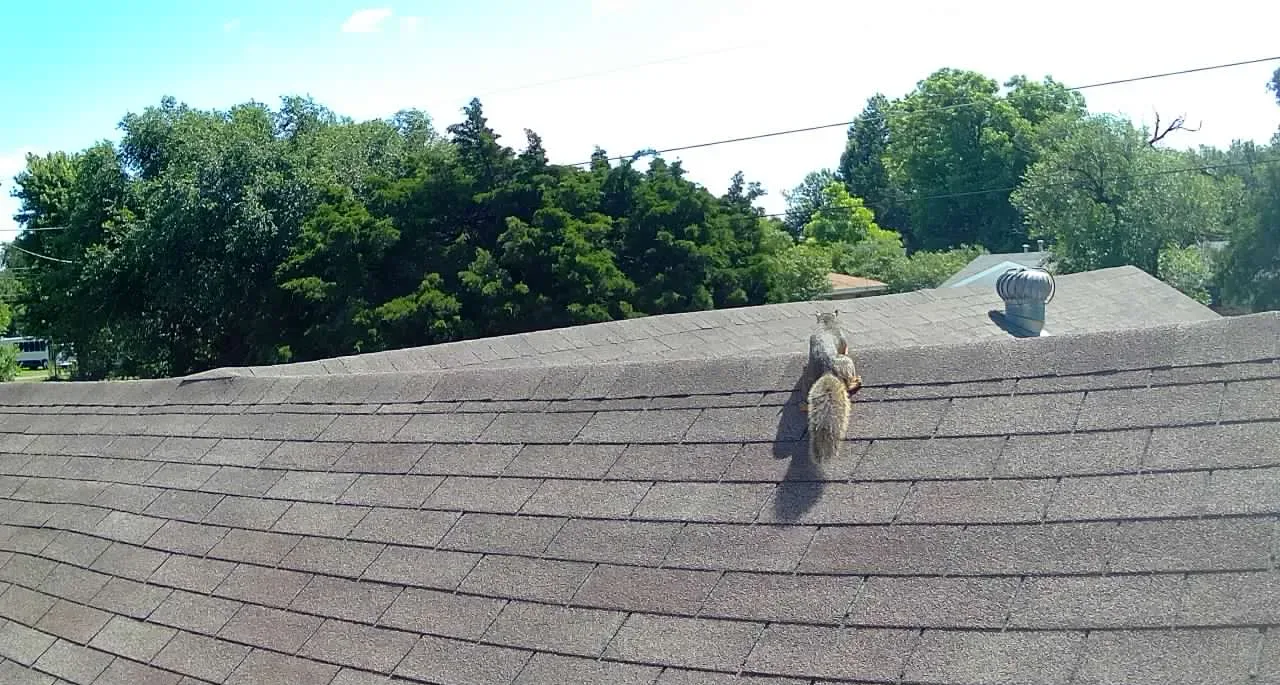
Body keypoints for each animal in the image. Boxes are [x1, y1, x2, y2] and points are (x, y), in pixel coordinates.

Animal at [799, 310, 863, 464]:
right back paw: (856, 381)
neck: (826, 322)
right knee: (848, 384)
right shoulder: (842, 337)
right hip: (846, 363)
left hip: (809, 380)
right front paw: (848, 349)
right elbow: (845, 346)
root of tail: (827, 369)